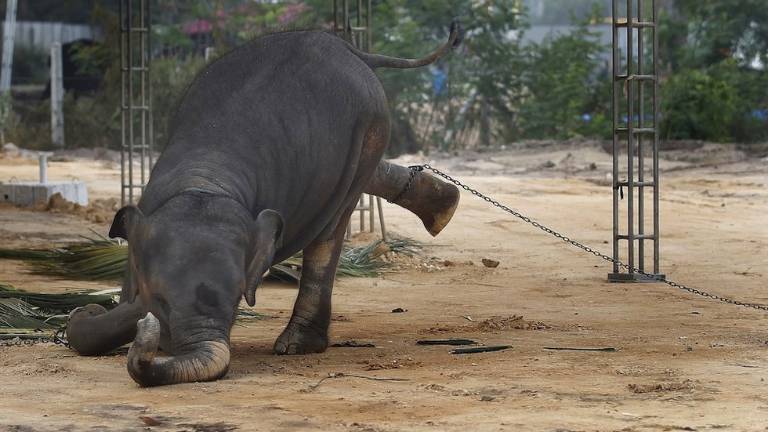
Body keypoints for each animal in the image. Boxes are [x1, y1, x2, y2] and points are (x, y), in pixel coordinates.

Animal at [66, 22, 463, 387]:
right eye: (160, 300)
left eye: (236, 301)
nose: (87, 306)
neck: (205, 183)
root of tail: (352, 50)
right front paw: (93, 314)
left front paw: (92, 315)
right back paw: (445, 207)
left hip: (369, 133)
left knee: (330, 233)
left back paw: (295, 346)